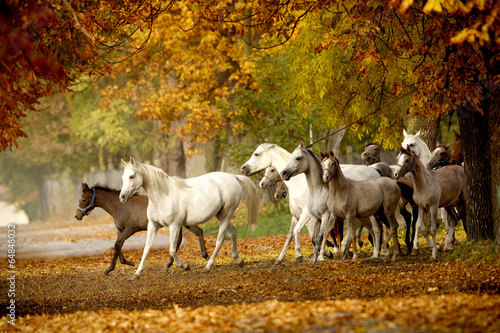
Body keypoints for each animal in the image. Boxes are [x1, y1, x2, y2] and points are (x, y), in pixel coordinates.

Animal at [74, 183, 209, 274]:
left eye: (83, 199)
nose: (77, 216)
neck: (120, 206)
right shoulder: (120, 230)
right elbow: (117, 245)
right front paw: (128, 262)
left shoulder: (131, 229)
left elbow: (118, 244)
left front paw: (109, 269)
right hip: (183, 224)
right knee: (194, 234)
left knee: (187, 237)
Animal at [119, 156, 260, 278]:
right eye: (123, 177)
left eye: (131, 176)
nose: (122, 197)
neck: (163, 196)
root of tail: (234, 177)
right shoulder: (153, 225)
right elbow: (146, 249)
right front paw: (136, 274)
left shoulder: (174, 226)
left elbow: (172, 250)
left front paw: (185, 266)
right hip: (220, 214)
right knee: (233, 232)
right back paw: (239, 260)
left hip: (227, 213)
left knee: (220, 239)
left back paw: (208, 267)